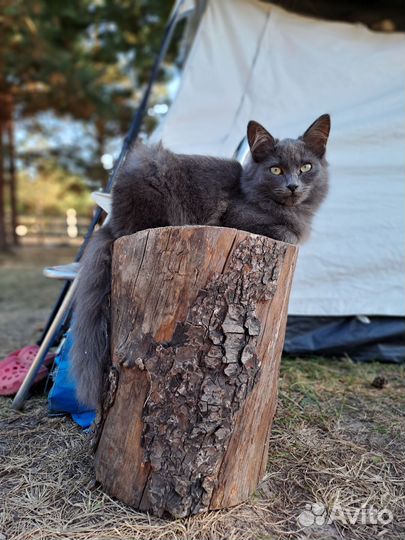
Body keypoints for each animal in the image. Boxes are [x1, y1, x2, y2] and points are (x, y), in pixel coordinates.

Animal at [71, 115, 330, 410]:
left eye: (306, 167)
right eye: (275, 170)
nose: (292, 186)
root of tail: (113, 218)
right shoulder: (240, 216)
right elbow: (288, 233)